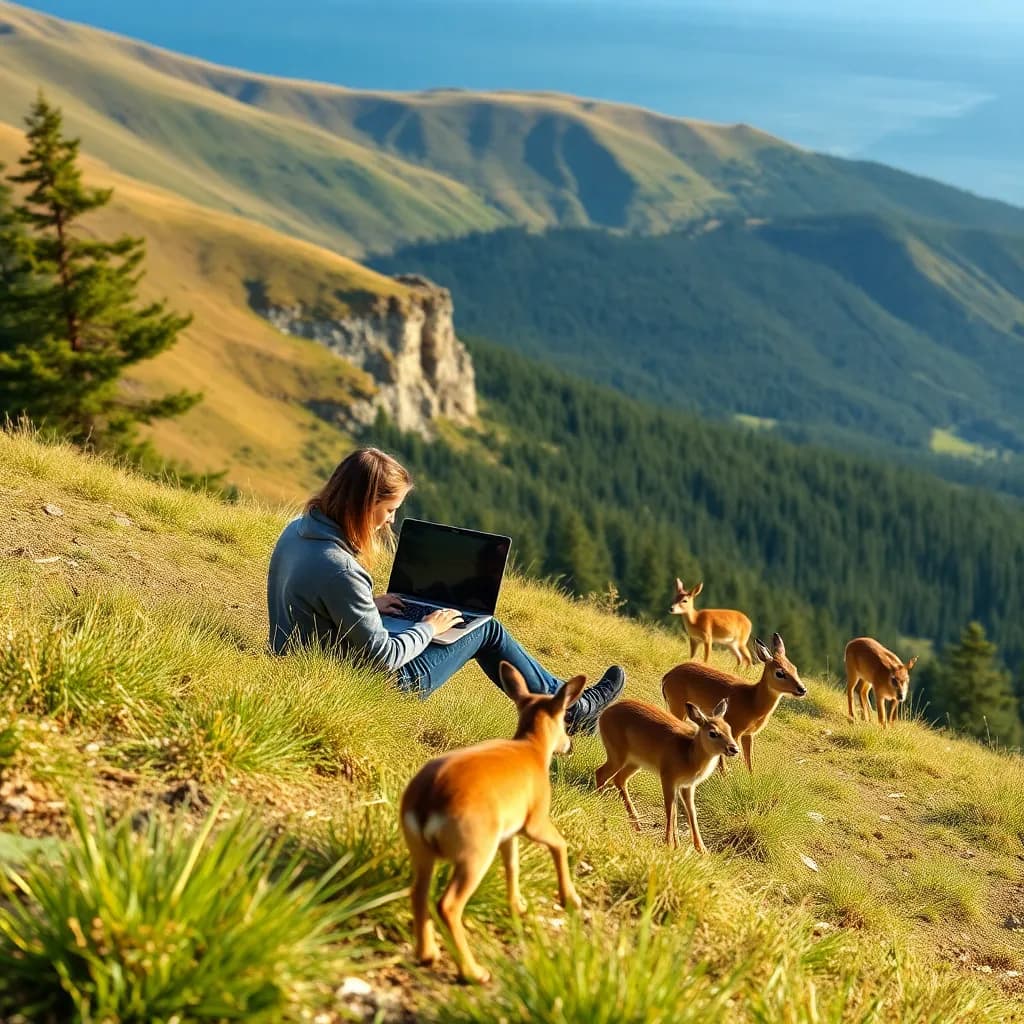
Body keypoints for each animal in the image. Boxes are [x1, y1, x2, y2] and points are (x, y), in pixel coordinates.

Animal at [401, 663, 589, 983]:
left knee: (418, 893)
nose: (570, 746)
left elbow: (512, 866)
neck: (531, 748)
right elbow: (560, 845)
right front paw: (570, 899)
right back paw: (473, 972)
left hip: (422, 853)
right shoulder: (534, 822)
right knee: (448, 905)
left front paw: (518, 905)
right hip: (474, 854)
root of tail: (428, 799)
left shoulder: (507, 834)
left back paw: (428, 954)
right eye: (565, 718)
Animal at [593, 700, 737, 851]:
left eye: (729, 728)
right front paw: (669, 844)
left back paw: (637, 825)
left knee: (619, 779)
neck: (689, 754)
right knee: (601, 773)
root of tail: (605, 713)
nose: (734, 748)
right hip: (617, 756)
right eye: (713, 733)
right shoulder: (668, 778)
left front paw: (700, 849)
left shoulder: (687, 786)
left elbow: (690, 811)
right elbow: (670, 809)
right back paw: (601, 806)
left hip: (635, 762)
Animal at [663, 634, 806, 770]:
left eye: (794, 668)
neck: (752, 702)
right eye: (780, 673)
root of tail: (666, 677)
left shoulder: (748, 734)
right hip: (677, 705)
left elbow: (749, 761)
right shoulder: (735, 728)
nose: (802, 689)